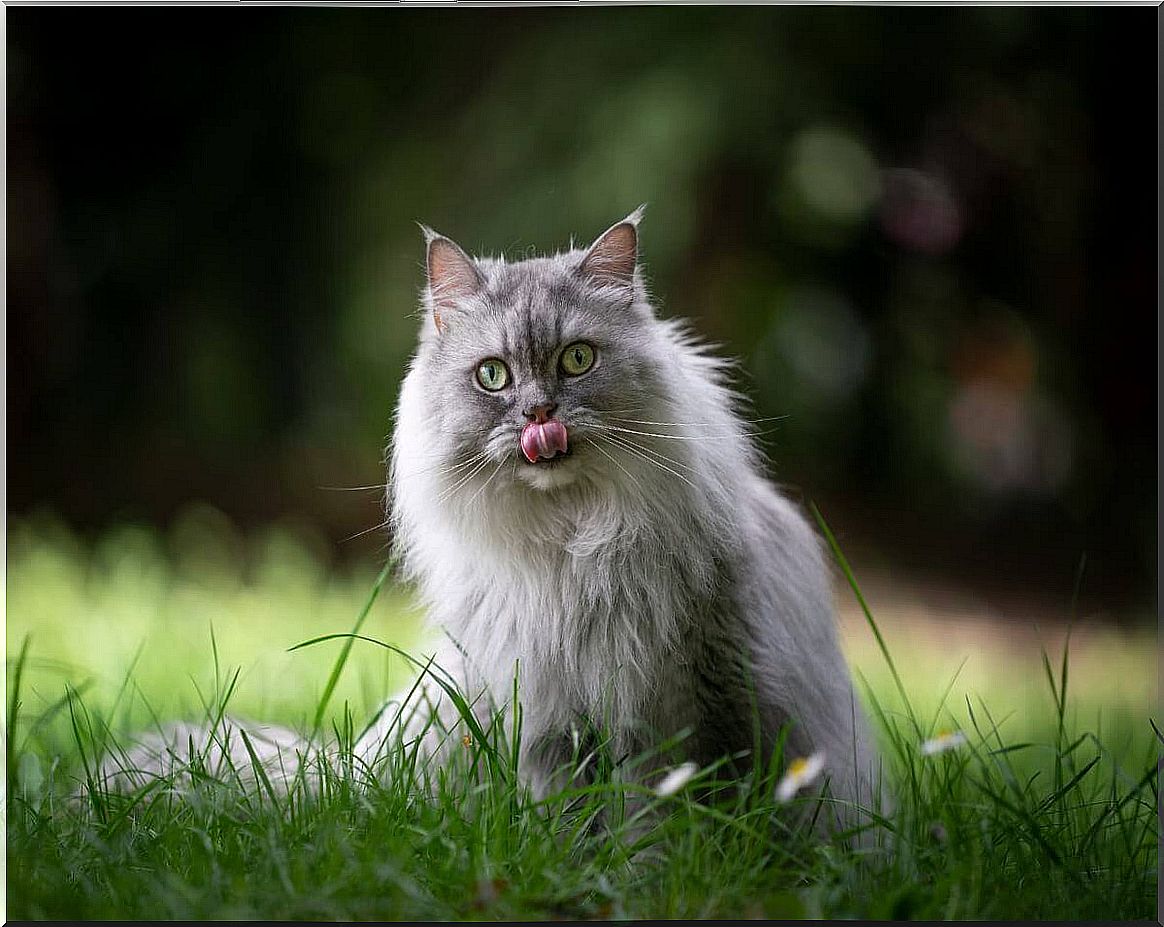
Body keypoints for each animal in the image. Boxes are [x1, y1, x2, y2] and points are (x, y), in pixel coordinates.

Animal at [102, 208, 879, 833]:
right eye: (494, 376)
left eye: (577, 359)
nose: (539, 415)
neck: (569, 545)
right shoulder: (550, 718)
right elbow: (570, 821)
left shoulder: (697, 703)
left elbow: (678, 819)